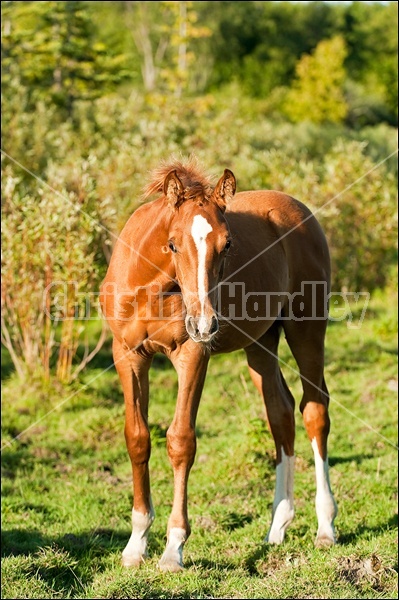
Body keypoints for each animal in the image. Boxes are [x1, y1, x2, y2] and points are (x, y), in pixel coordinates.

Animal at [100, 157, 338, 568]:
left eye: (227, 244)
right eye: (172, 243)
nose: (206, 323)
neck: (149, 289)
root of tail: (300, 210)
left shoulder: (192, 354)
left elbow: (181, 441)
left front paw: (173, 548)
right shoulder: (127, 355)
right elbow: (137, 438)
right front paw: (136, 544)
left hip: (306, 328)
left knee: (314, 410)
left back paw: (325, 526)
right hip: (261, 343)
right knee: (281, 412)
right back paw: (278, 526)